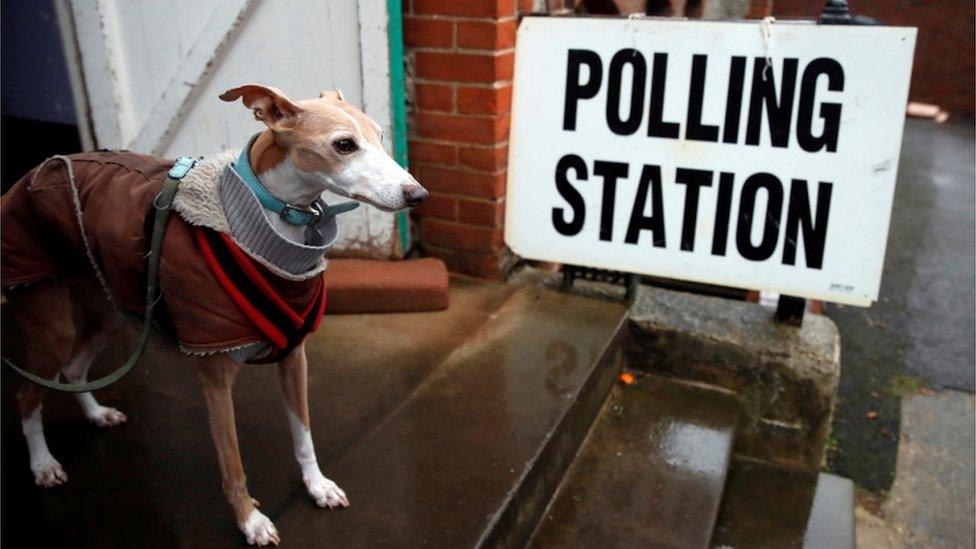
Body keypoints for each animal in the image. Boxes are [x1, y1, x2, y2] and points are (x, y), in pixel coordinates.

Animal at [0, 85, 428, 544]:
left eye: (381, 136)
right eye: (344, 145)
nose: (418, 195)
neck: (272, 223)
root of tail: (33, 172)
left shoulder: (294, 356)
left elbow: (304, 434)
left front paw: (317, 486)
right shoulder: (215, 378)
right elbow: (232, 463)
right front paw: (250, 520)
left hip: (106, 313)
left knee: (74, 369)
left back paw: (97, 415)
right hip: (49, 324)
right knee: (27, 396)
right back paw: (43, 465)